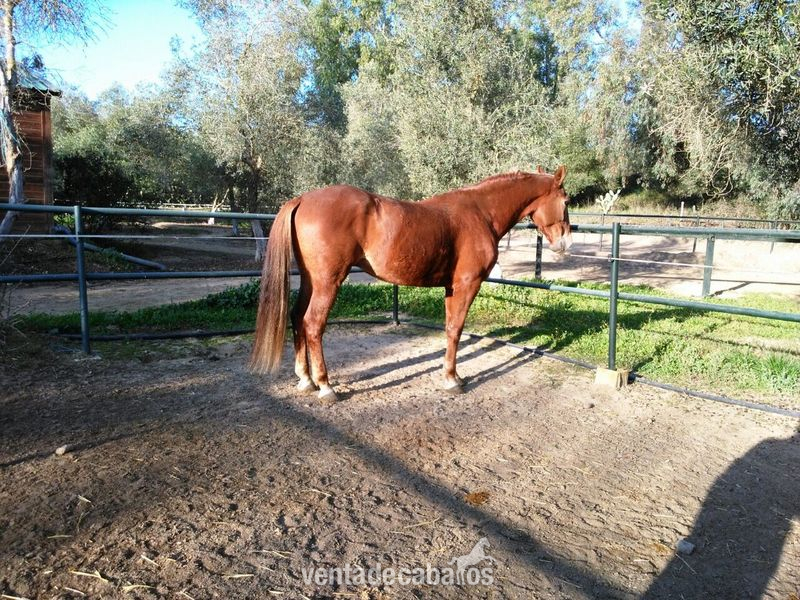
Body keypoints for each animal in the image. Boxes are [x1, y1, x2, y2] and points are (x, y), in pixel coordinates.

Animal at [250, 165, 572, 402]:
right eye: (566, 201)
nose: (565, 242)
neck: (480, 212)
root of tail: (303, 199)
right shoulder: (467, 284)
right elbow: (456, 329)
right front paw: (452, 379)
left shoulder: (451, 287)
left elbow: (449, 328)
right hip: (328, 282)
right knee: (313, 324)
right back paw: (325, 386)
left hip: (310, 280)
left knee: (296, 317)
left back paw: (305, 379)